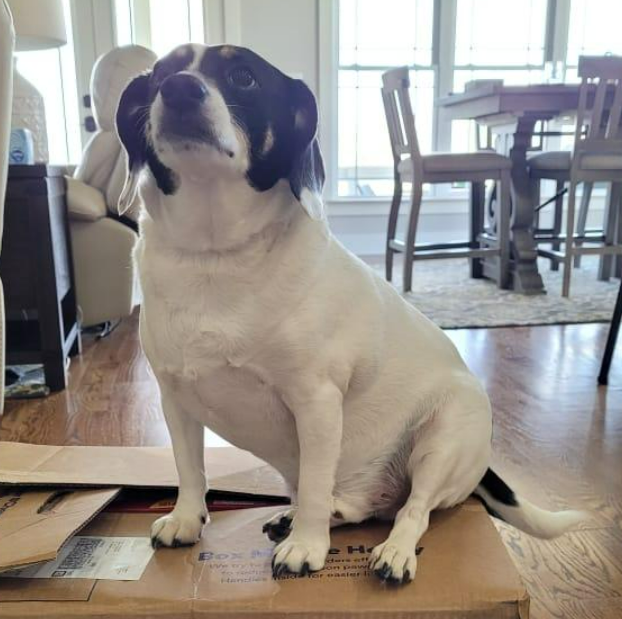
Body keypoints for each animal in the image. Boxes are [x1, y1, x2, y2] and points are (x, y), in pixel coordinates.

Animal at [117, 43, 588, 588]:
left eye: (244, 77)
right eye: (160, 76)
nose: (178, 89)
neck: (214, 254)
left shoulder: (317, 402)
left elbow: (317, 485)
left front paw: (306, 546)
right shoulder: (175, 400)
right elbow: (190, 469)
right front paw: (187, 519)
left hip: (443, 437)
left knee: (412, 510)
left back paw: (392, 551)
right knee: (358, 505)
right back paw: (307, 515)